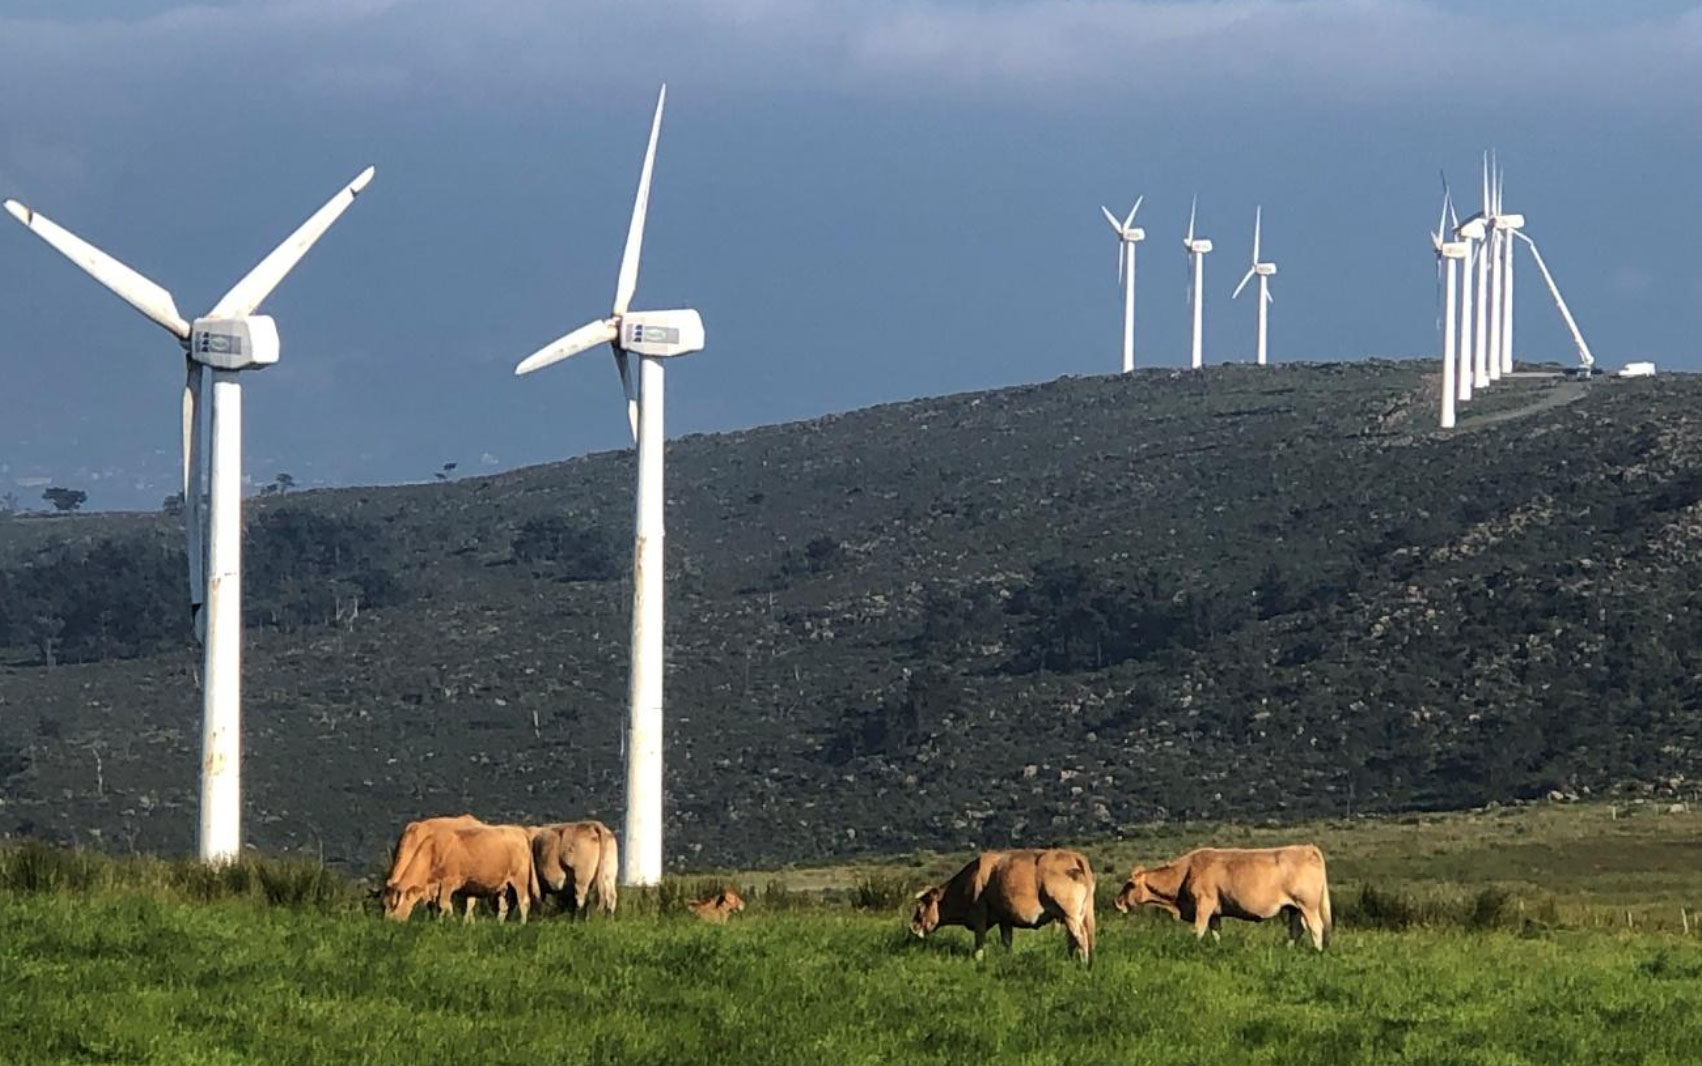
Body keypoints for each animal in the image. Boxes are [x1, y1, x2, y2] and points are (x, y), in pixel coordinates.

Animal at [386, 817, 537, 919]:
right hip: (503, 885)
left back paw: (521, 925)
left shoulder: (448, 882)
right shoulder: (436, 886)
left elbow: (443, 905)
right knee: (503, 906)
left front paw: (449, 922)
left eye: (395, 905)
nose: (389, 922)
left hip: (519, 879)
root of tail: (519, 831)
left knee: (524, 902)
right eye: (383, 905)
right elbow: (440, 906)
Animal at [912, 848, 1096, 960]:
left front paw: (978, 960)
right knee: (1073, 939)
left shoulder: (979, 914)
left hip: (1070, 914)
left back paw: (1082, 964)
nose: (912, 926)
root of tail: (1074, 855)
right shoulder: (1005, 919)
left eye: (921, 907)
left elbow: (979, 940)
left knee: (1081, 938)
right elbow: (1007, 942)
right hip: (1074, 915)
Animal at [1109, 841, 1334, 953]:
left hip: (1307, 905)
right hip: (1294, 908)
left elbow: (1198, 929)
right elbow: (1215, 932)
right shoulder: (1215, 911)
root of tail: (1307, 848)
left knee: (1315, 927)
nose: (1117, 902)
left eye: (1129, 884)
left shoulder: (1204, 904)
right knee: (1296, 930)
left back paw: (1318, 951)